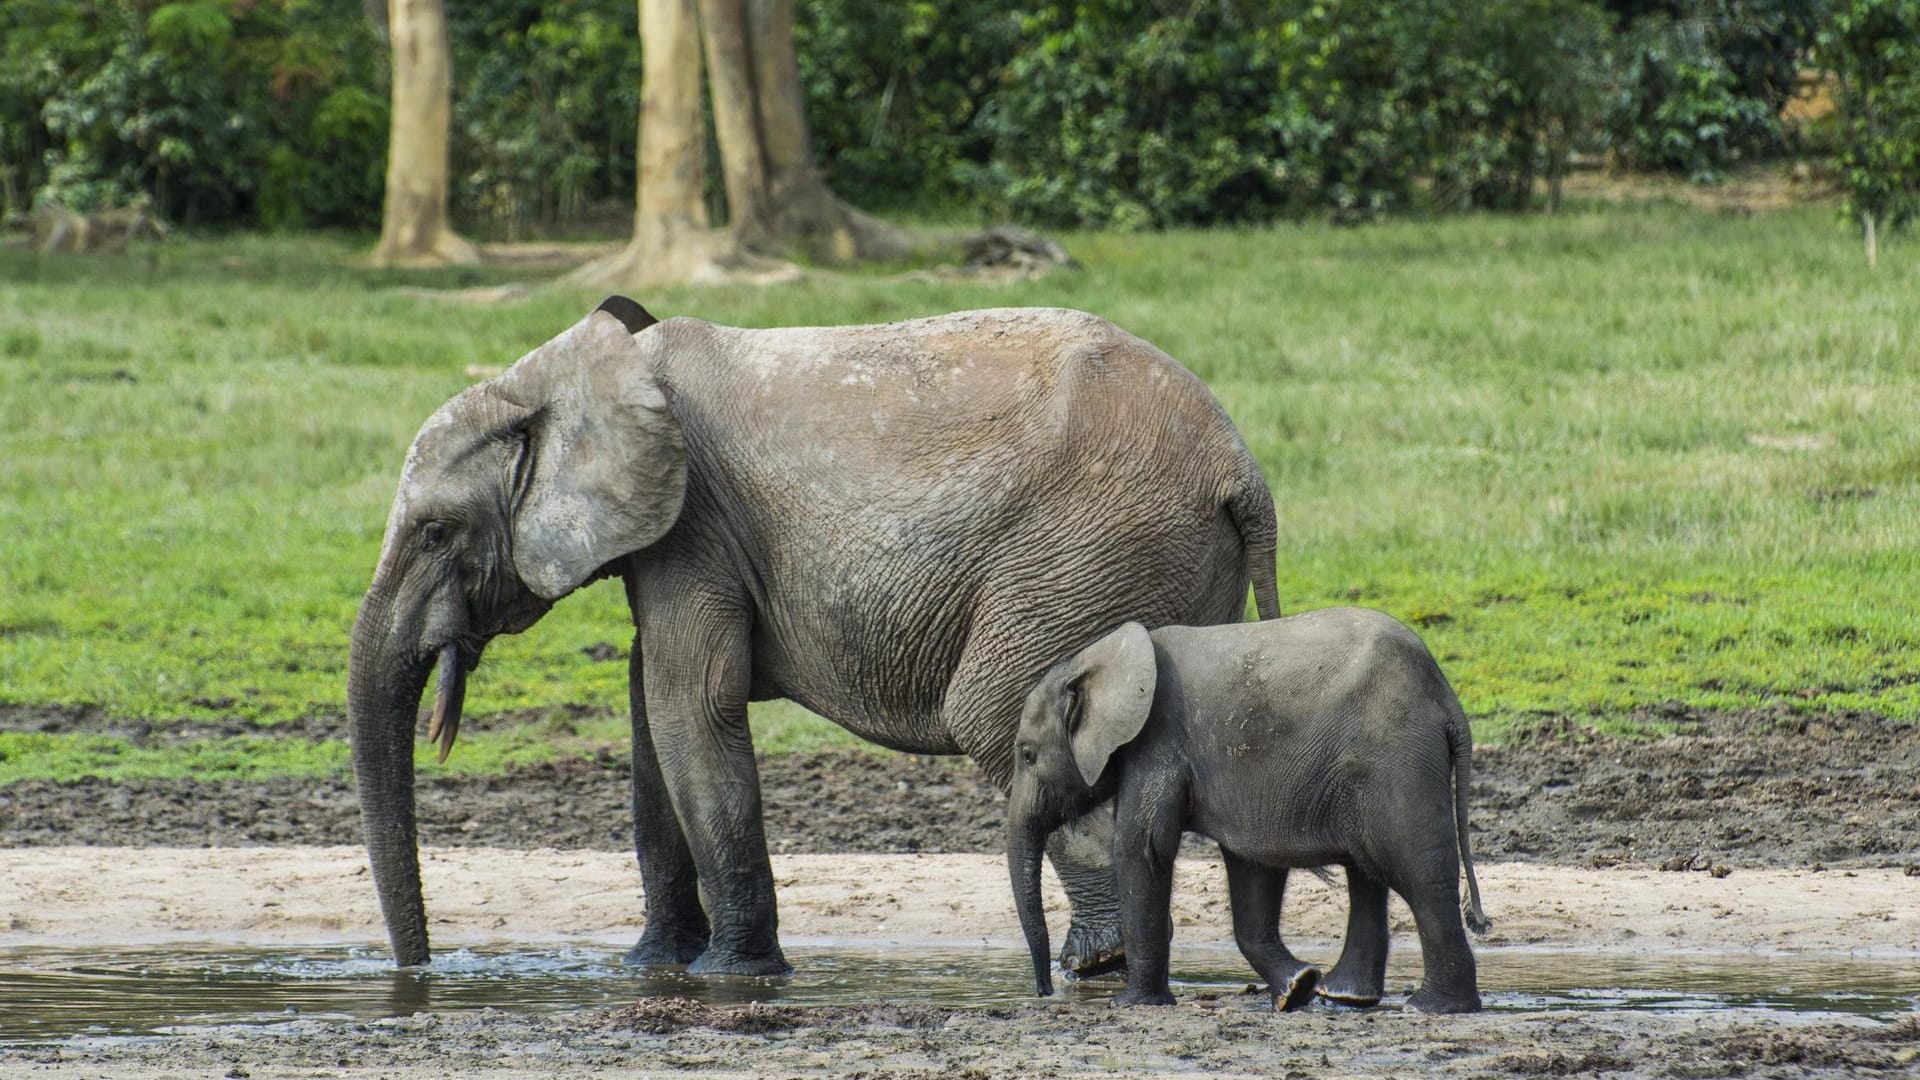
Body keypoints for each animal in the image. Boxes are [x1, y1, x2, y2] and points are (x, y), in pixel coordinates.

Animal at [349, 297, 1274, 972]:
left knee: (999, 718)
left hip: (1088, 554)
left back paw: (1097, 963)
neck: (571, 373)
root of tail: (1245, 472)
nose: (420, 971)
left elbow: (692, 706)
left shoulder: (695, 523)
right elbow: (652, 716)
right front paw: (653, 968)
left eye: (435, 532)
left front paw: (733, 975)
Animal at [1013, 607, 1489, 1006]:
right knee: (1368, 872)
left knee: (1420, 875)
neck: (1096, 658)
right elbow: (1251, 866)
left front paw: (1132, 1004)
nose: (1045, 991)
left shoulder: (1157, 741)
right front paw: (1296, 989)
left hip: (1395, 759)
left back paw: (1433, 1006)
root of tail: (1446, 698)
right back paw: (1344, 996)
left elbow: (1142, 848)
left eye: (1027, 755)